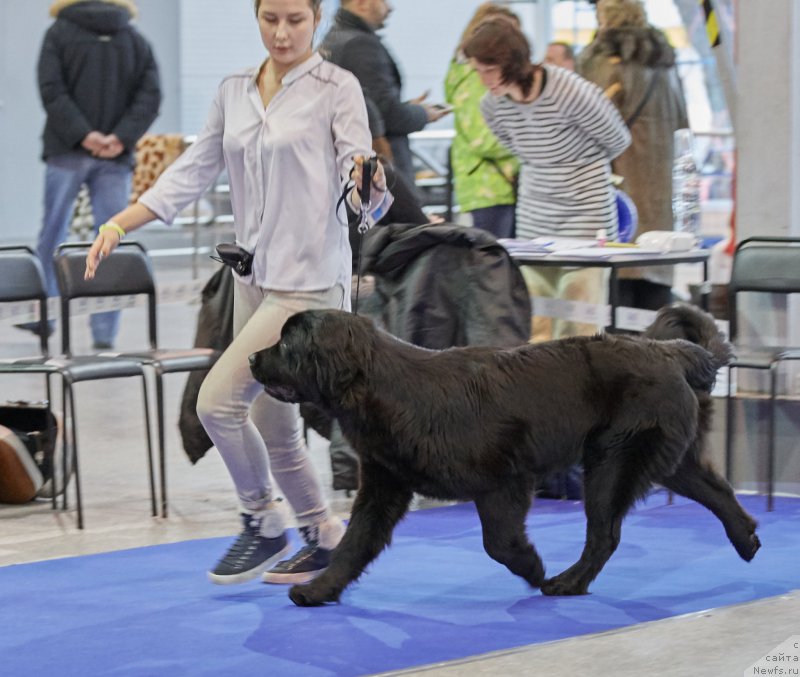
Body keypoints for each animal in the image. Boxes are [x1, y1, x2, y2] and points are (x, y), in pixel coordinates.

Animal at [252, 304, 764, 604]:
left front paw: (533, 567)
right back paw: (748, 541)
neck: (384, 387)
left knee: (605, 534)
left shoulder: (504, 479)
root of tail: (669, 351)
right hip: (664, 458)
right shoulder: (384, 484)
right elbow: (354, 544)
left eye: (285, 343)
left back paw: (567, 583)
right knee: (717, 491)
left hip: (612, 462)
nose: (253, 358)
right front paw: (319, 589)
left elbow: (497, 541)